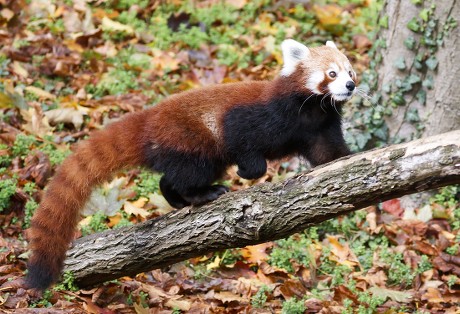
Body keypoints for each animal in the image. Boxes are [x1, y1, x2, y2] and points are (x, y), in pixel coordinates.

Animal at [24, 40, 356, 290]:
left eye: (350, 70)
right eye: (331, 73)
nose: (351, 85)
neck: (310, 111)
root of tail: (149, 120)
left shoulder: (319, 127)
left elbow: (328, 153)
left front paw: (349, 158)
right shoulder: (251, 117)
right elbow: (245, 146)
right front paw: (248, 171)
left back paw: (182, 199)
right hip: (194, 142)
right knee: (185, 174)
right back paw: (201, 194)